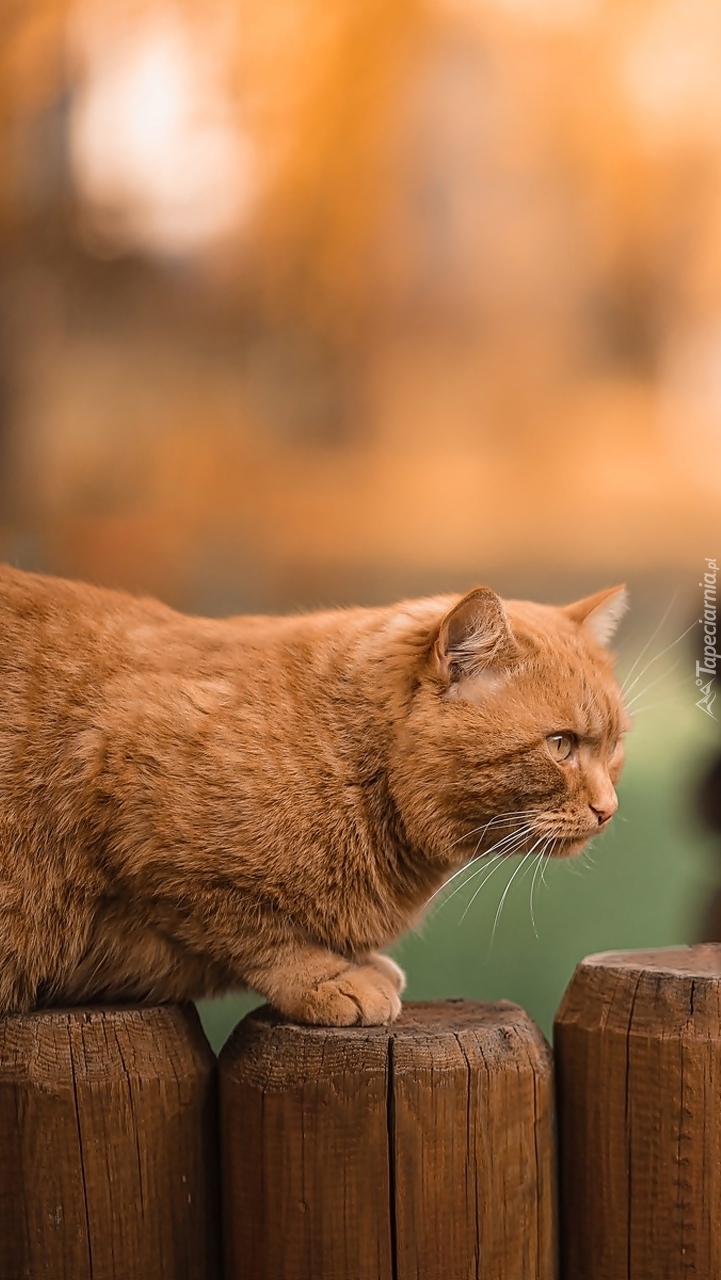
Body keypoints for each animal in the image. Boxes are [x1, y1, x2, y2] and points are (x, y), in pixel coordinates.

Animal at [0, 565, 627, 1024]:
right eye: (561, 744)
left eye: (615, 745)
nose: (609, 810)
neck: (343, 755)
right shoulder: (142, 822)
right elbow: (256, 932)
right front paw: (331, 976)